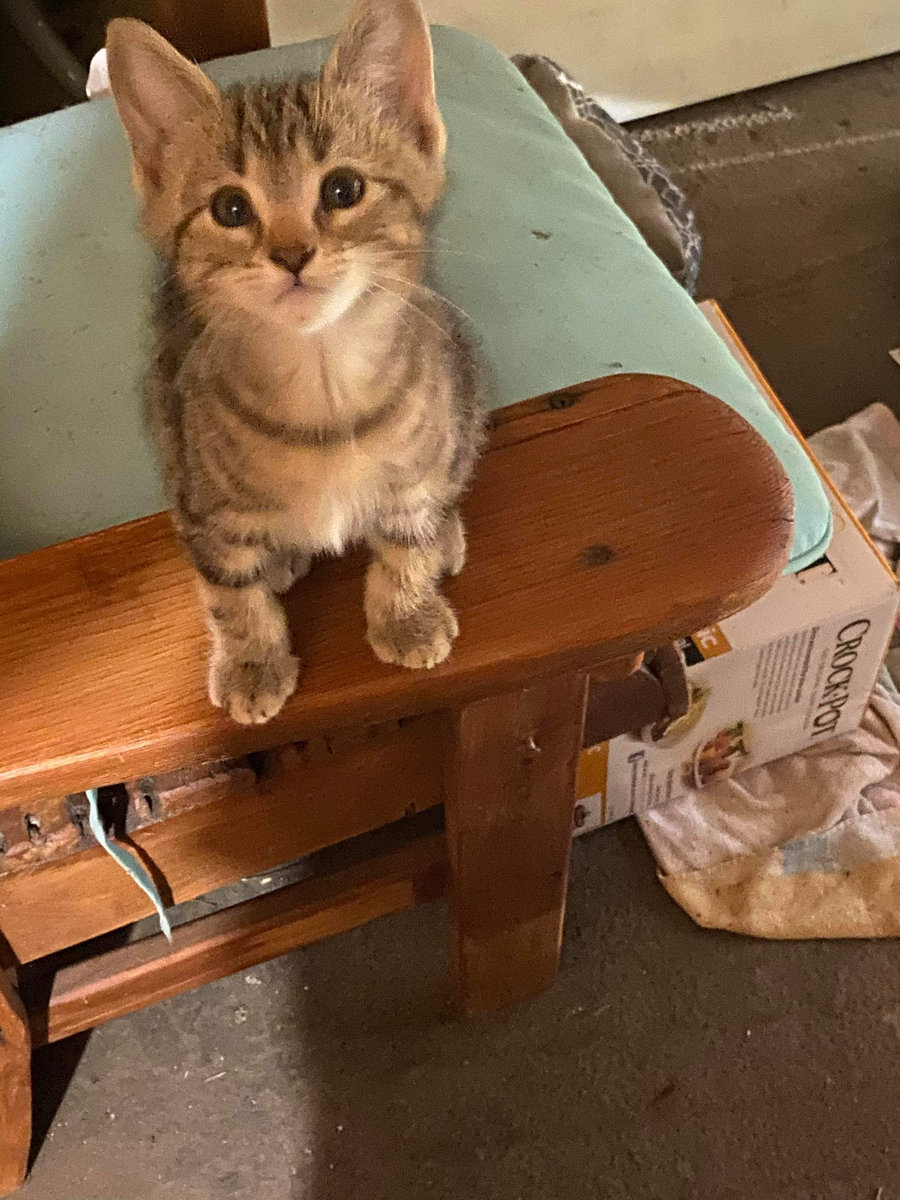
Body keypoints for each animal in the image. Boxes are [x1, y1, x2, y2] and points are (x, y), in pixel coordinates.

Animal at [105, 0, 484, 726]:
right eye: (229, 208)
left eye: (343, 189)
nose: (291, 254)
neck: (322, 389)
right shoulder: (198, 500)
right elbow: (229, 592)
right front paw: (252, 660)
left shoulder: (420, 460)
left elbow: (408, 536)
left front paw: (407, 613)